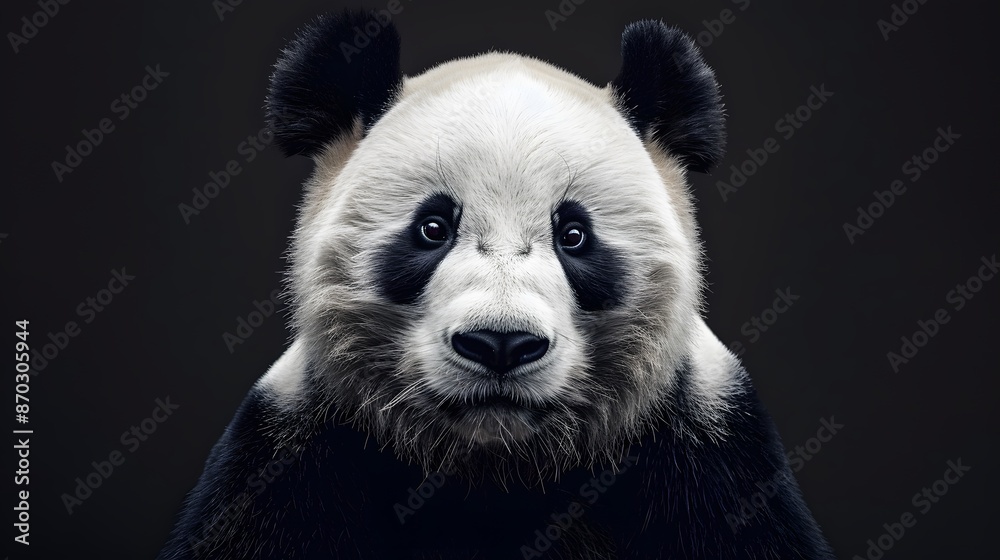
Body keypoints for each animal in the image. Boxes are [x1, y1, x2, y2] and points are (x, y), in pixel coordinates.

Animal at [159, 9, 834, 560]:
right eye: (432, 228)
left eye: (574, 235)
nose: (501, 344)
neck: (497, 470)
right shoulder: (288, 456)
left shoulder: (711, 456)